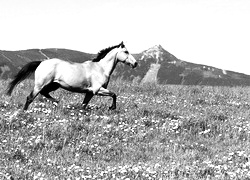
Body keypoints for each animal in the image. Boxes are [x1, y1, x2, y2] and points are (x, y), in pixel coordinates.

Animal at [6, 41, 138, 110]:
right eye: (126, 52)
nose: (135, 63)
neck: (100, 68)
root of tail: (41, 63)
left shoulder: (89, 92)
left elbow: (83, 105)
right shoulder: (97, 90)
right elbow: (114, 94)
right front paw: (112, 108)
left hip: (54, 85)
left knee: (44, 93)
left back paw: (57, 101)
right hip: (41, 84)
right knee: (30, 97)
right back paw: (25, 112)